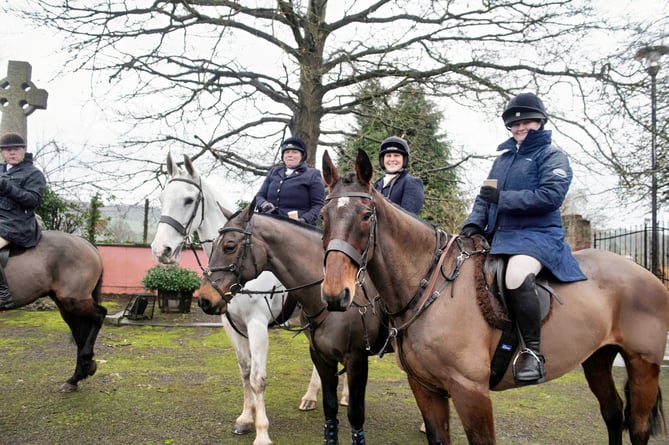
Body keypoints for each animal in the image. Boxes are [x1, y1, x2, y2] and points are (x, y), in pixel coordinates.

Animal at [0, 229, 105, 392]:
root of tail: (87, 244)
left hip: (73, 301)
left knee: (99, 316)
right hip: (66, 306)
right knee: (80, 331)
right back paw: (77, 376)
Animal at [151, 151, 344, 442]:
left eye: (188, 200)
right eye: (162, 198)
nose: (161, 249)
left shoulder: (257, 325)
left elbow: (257, 378)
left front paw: (262, 432)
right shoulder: (232, 326)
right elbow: (244, 371)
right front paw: (245, 418)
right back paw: (311, 396)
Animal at [318, 149, 668, 444]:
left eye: (366, 215)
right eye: (323, 215)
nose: (335, 294)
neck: (429, 287)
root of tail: (646, 274)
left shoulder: (470, 392)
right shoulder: (426, 388)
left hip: (643, 365)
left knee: (637, 427)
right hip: (597, 359)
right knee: (613, 414)